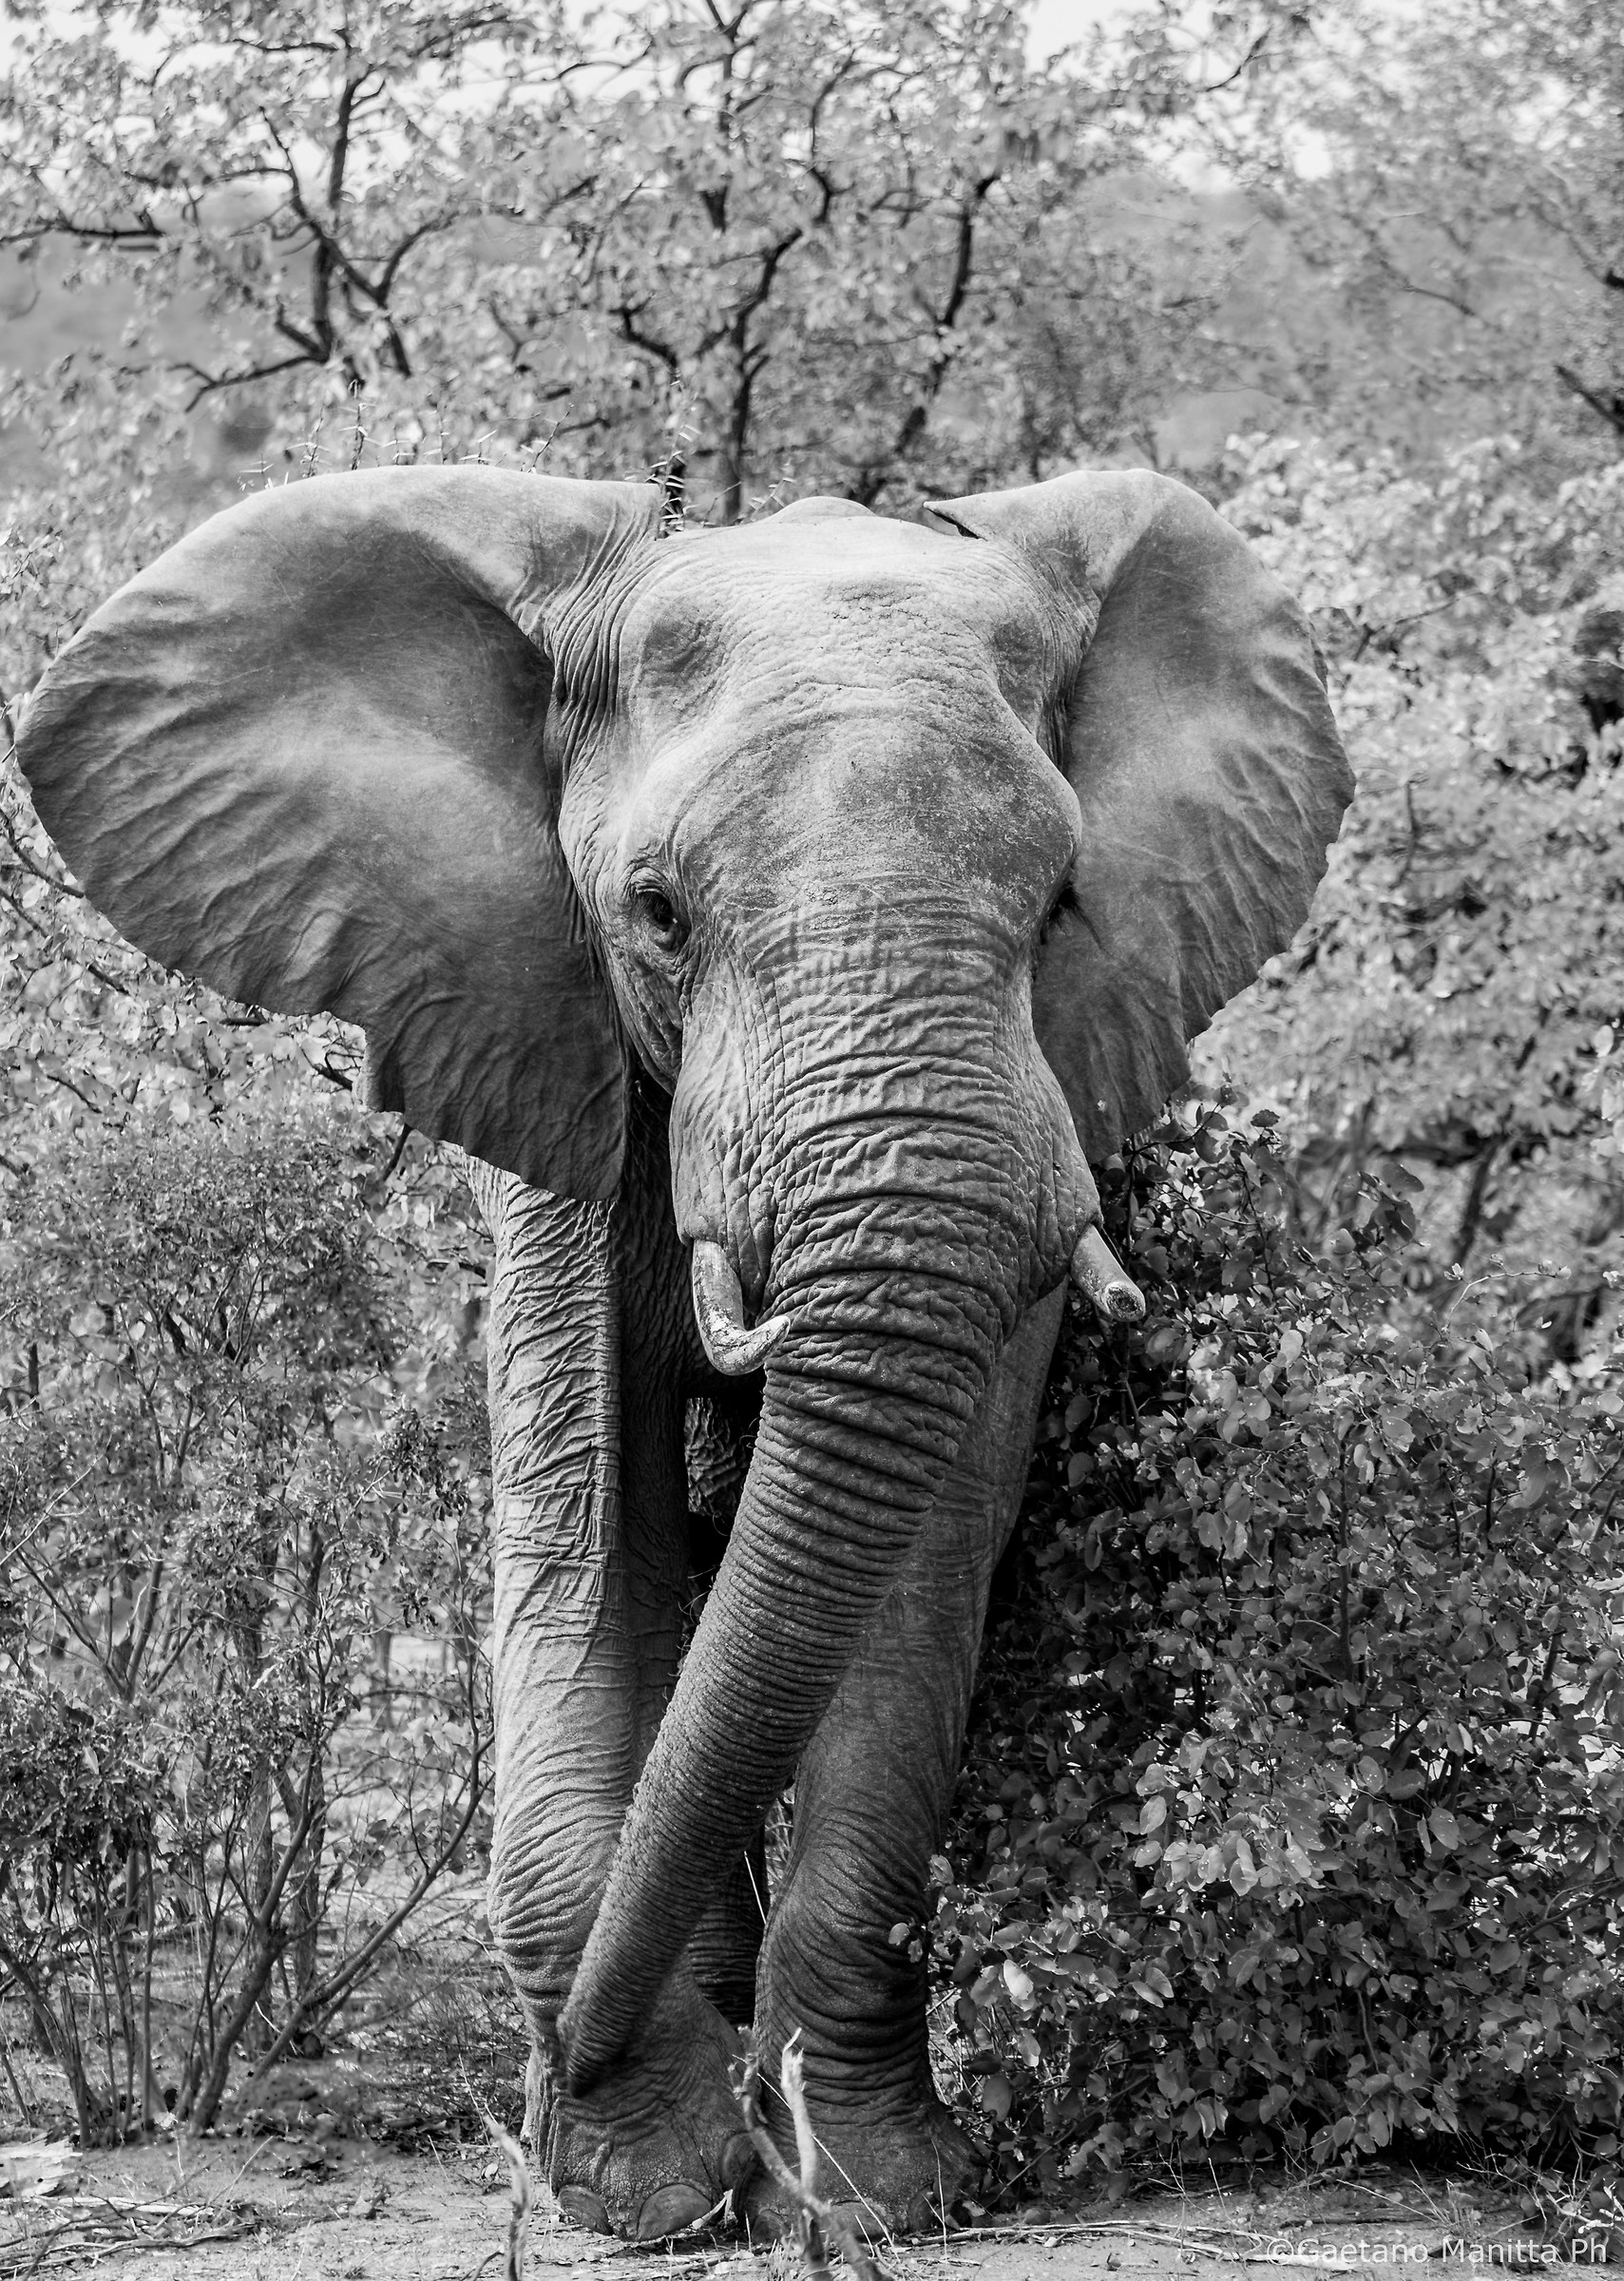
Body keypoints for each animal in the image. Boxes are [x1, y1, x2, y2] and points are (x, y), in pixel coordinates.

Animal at [16, 463, 1351, 2240]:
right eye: (654, 914)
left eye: (1062, 906)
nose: (546, 2094)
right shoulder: (549, 1056)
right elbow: (593, 1526)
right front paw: (641, 2185)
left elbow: (922, 1562)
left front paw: (863, 2197)